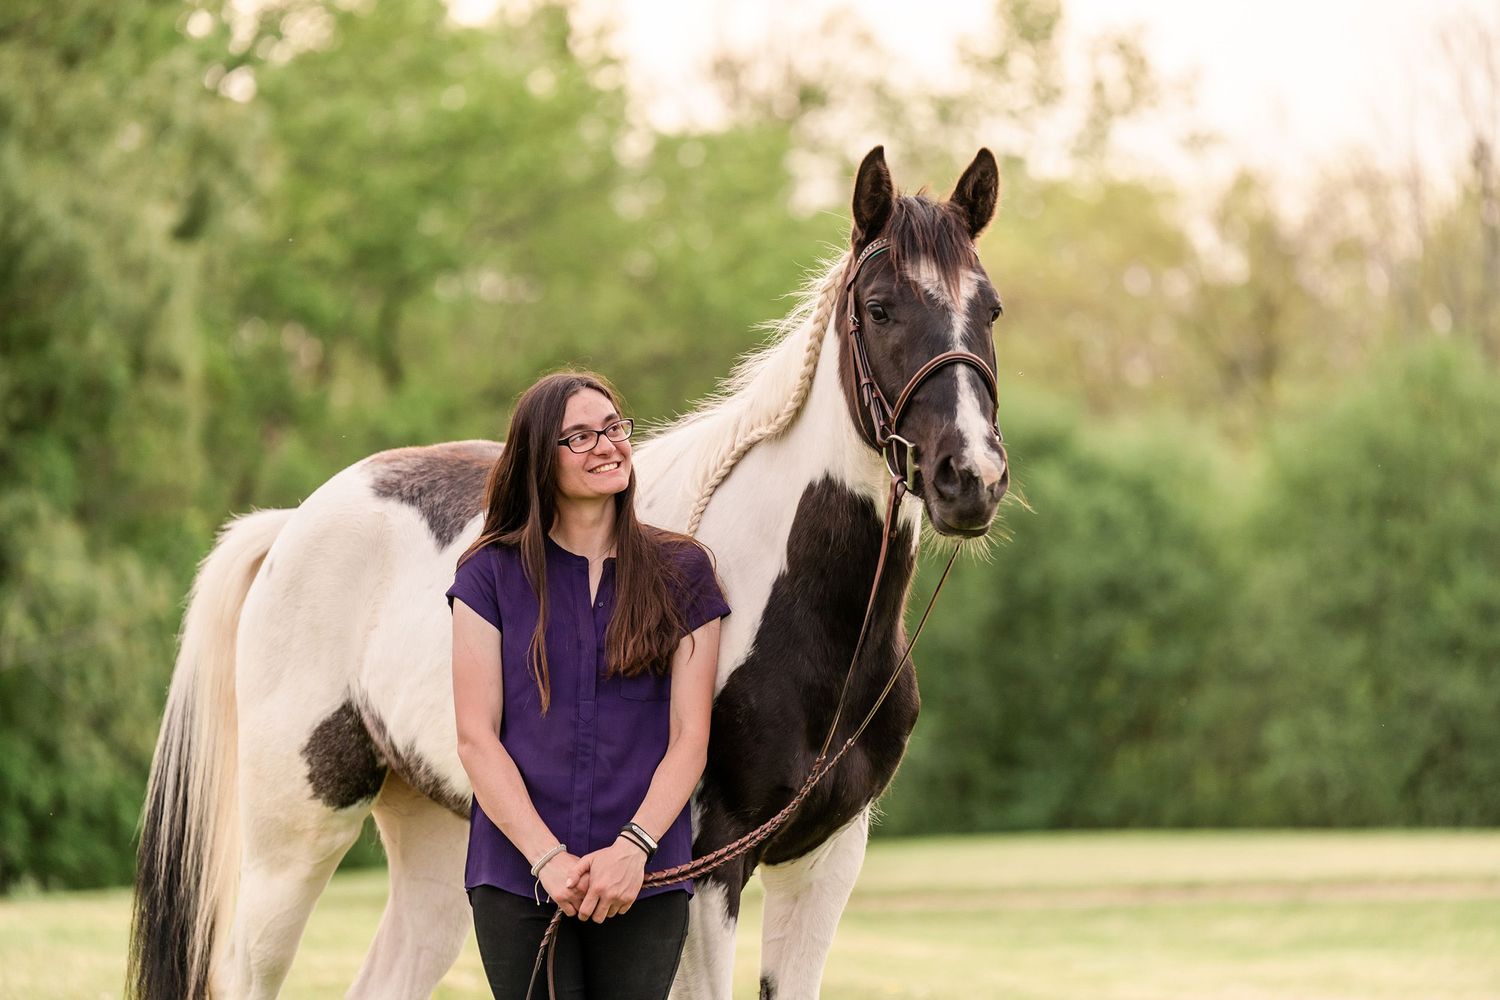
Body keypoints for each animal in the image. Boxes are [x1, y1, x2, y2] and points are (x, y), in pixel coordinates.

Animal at [129, 145, 1009, 1000]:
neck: (805, 610)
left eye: (990, 309)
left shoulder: (826, 861)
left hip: (439, 841)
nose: (970, 476)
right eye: (880, 307)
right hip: (291, 842)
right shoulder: (708, 870)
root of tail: (293, 524)